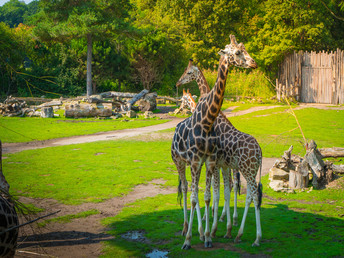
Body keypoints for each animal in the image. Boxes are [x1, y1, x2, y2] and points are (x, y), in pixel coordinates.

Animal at [172, 34, 258, 250]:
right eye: (238, 52)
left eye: (243, 50)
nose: (254, 63)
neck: (207, 120)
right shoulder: (201, 161)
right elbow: (202, 195)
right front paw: (197, 235)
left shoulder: (211, 161)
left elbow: (210, 195)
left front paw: (207, 233)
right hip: (181, 161)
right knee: (187, 188)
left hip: (235, 166)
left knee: (239, 190)